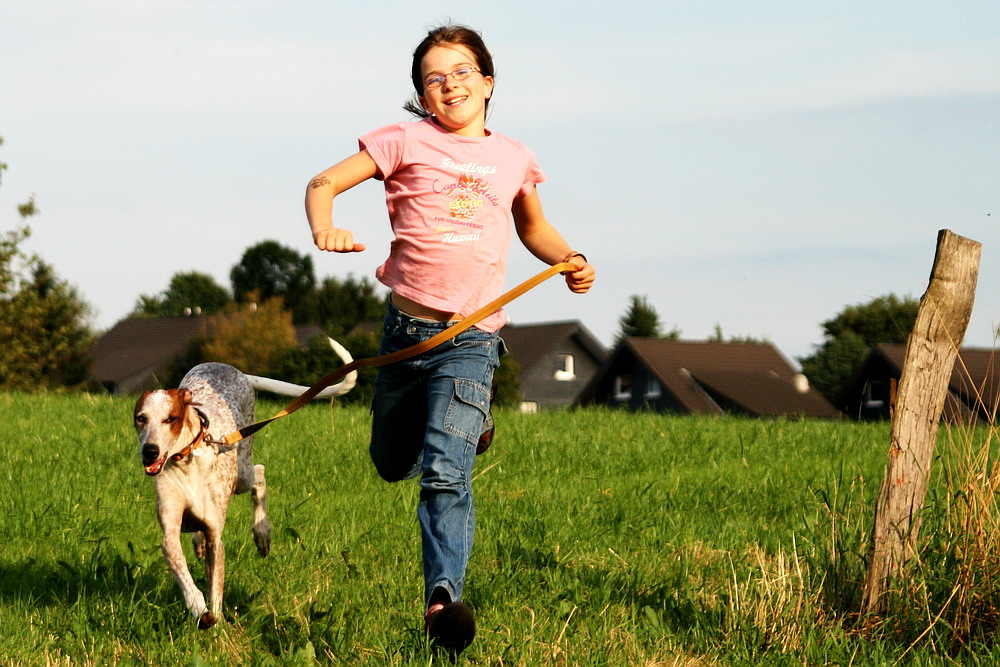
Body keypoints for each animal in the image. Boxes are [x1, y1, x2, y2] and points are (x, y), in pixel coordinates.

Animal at [134, 340, 356, 632]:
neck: (187, 460)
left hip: (242, 473)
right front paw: (198, 608)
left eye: (170, 419)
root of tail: (238, 371)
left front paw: (216, 622)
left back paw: (262, 532)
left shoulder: (216, 536)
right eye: (140, 418)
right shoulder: (170, 532)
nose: (150, 451)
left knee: (259, 474)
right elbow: (184, 574)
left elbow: (215, 587)